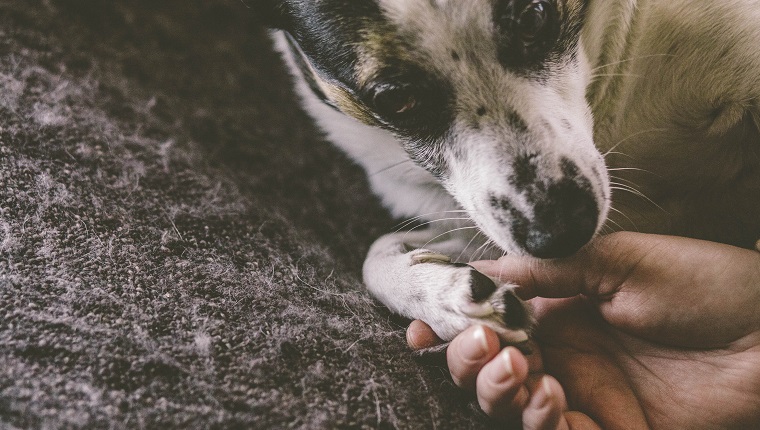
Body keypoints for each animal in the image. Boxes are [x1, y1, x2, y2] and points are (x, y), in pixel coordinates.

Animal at [254, 0, 760, 342]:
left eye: (535, 16)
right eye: (395, 100)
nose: (560, 232)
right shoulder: (482, 228)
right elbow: (375, 255)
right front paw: (445, 294)